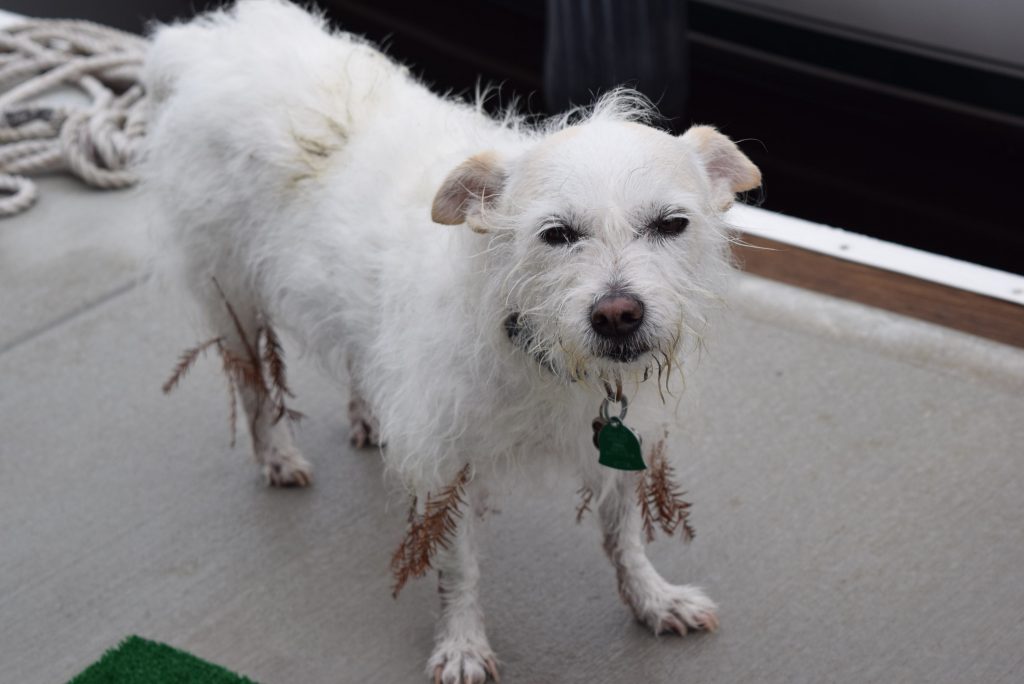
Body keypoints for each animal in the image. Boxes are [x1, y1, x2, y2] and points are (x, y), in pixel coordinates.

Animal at [144, 2, 761, 679]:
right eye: (556, 234)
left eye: (671, 224)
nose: (618, 315)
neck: (526, 336)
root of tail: (213, 42)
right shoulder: (446, 457)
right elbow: (457, 567)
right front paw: (462, 645)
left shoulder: (621, 439)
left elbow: (624, 534)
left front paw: (653, 599)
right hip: (231, 293)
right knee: (254, 387)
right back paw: (277, 455)